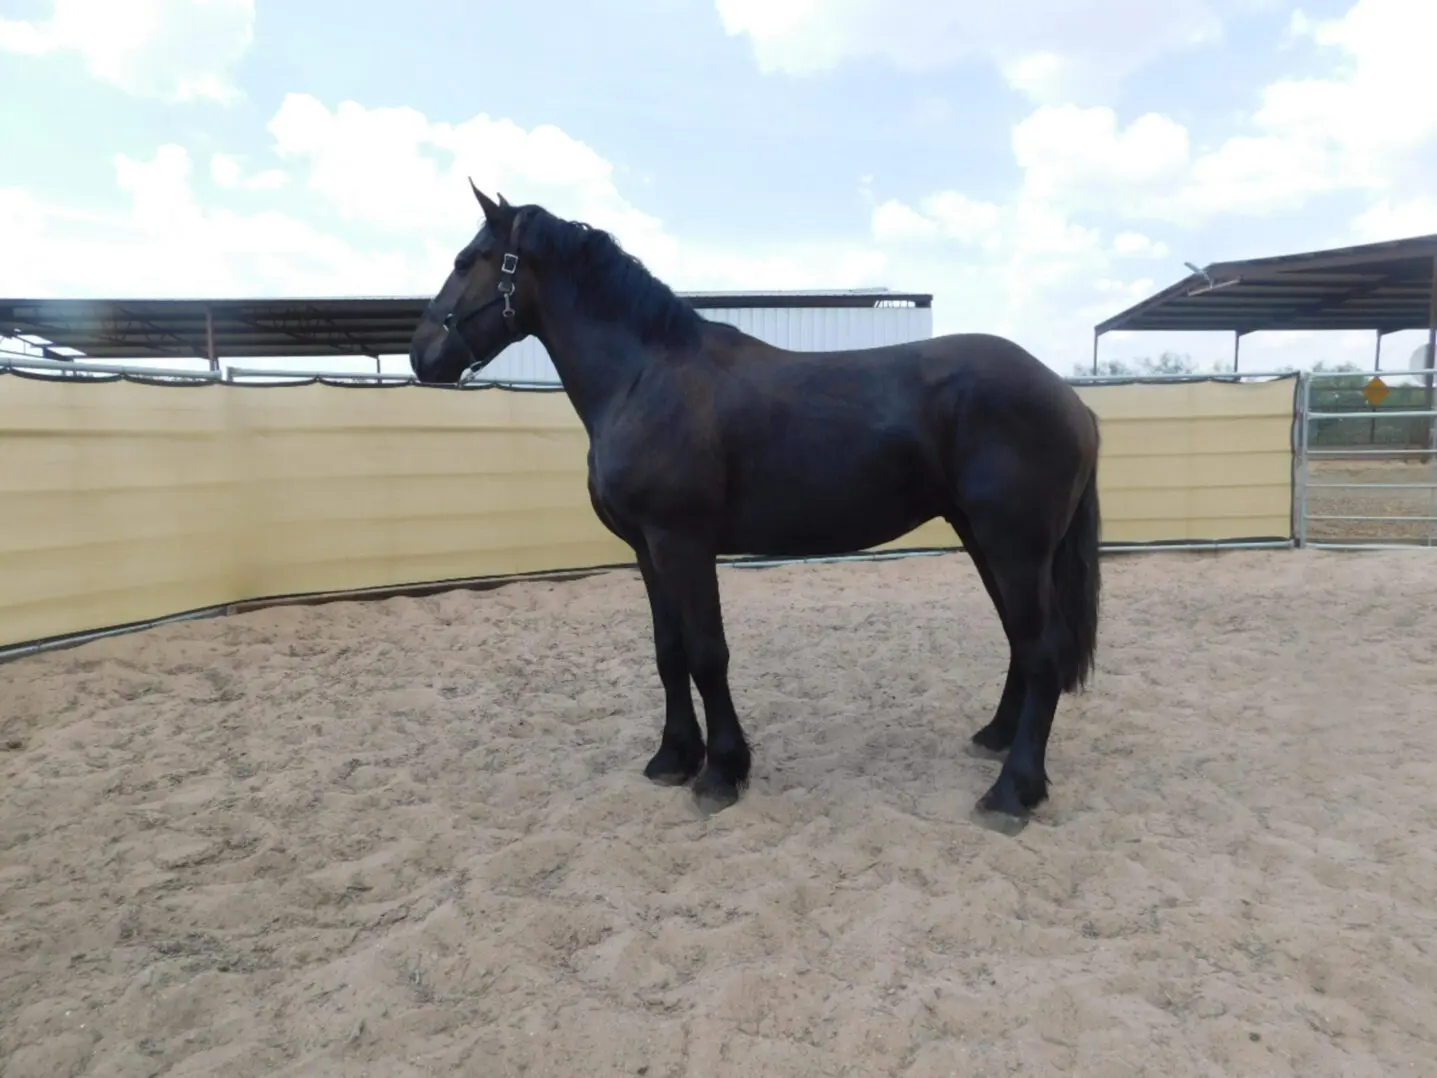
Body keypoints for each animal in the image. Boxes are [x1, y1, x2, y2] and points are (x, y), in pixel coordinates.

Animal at [409, 182, 1102, 831]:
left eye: (467, 260)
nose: (420, 354)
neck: (643, 376)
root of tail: (1069, 399)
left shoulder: (683, 543)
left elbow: (707, 654)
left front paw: (721, 772)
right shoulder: (648, 551)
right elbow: (669, 651)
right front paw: (673, 758)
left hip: (1014, 547)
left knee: (1042, 651)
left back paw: (1012, 792)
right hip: (983, 539)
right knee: (1021, 642)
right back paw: (996, 739)